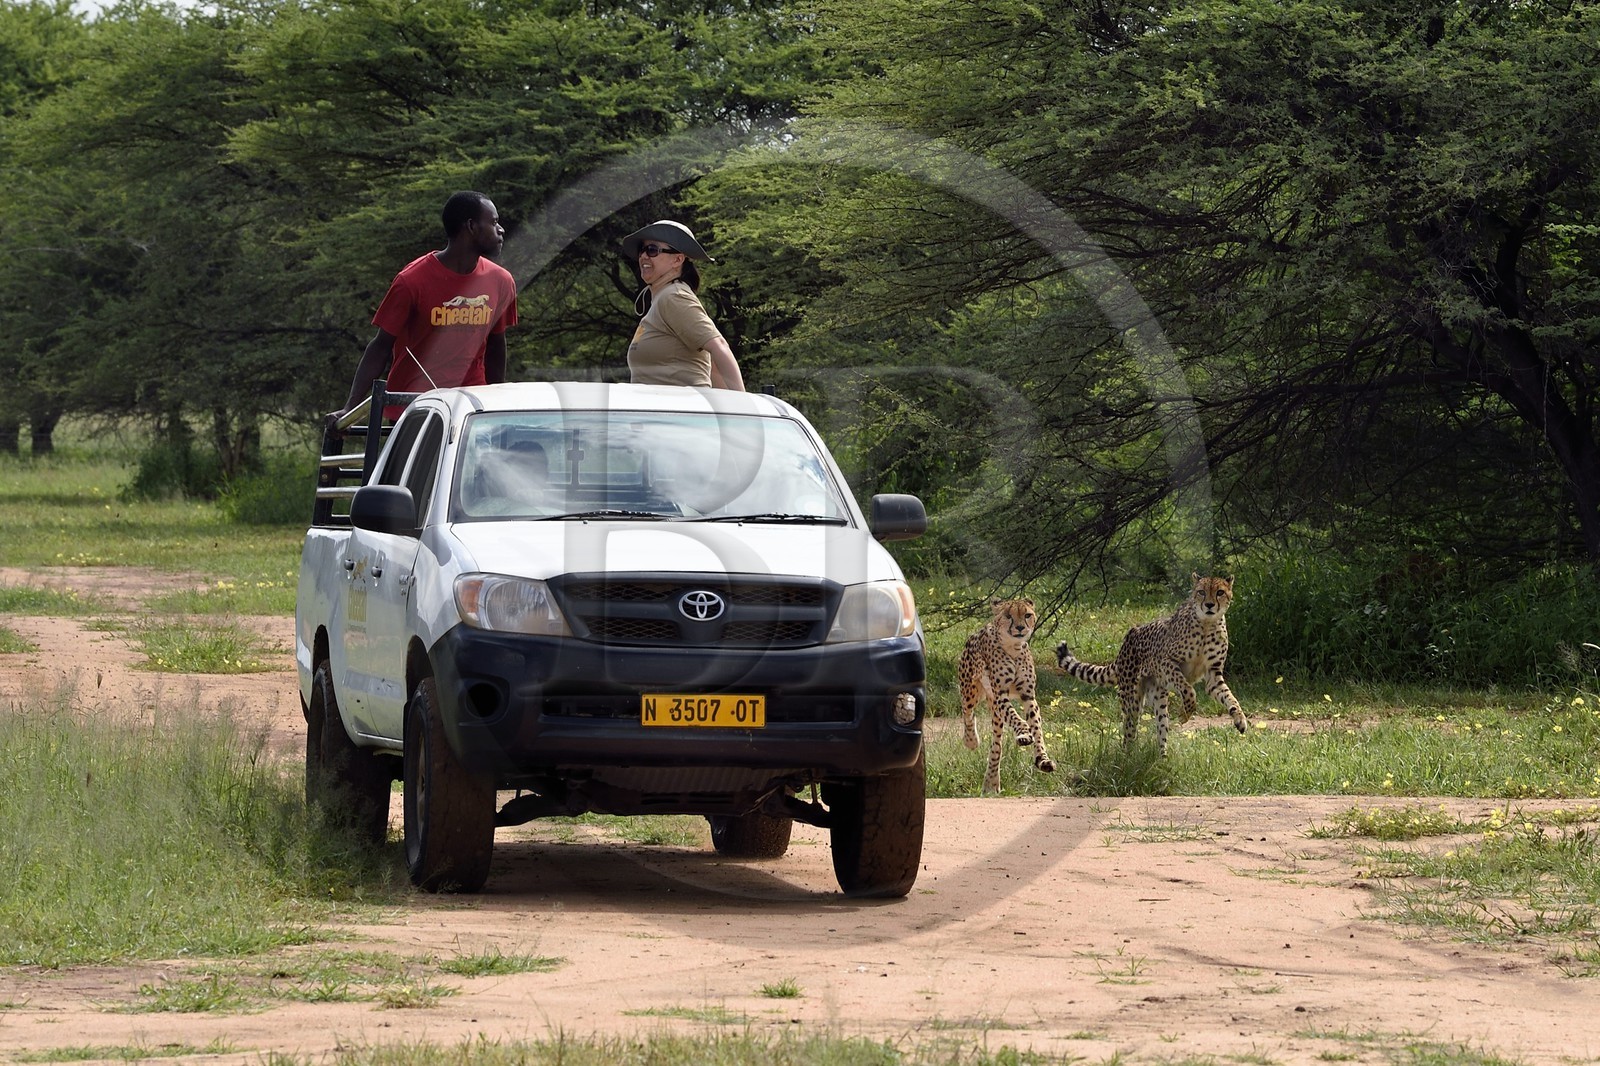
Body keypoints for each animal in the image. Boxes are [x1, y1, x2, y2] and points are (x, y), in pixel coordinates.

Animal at [958, 597, 1057, 794]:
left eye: (1027, 615)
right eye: (1008, 616)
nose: (1019, 627)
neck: (1013, 647)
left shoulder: (1028, 696)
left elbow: (1037, 728)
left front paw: (1042, 759)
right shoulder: (999, 694)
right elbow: (1016, 717)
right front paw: (1024, 733)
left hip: (995, 714)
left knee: (996, 745)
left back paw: (991, 781)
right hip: (971, 690)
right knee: (967, 712)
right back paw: (971, 741)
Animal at [1054, 573, 1248, 754]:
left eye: (1220, 592)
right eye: (1201, 592)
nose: (1209, 605)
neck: (1207, 624)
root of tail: (1128, 637)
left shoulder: (1213, 674)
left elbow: (1229, 697)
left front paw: (1240, 718)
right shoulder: (1165, 661)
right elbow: (1188, 689)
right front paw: (1186, 713)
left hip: (1158, 697)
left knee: (1161, 728)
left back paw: (1162, 760)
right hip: (1131, 698)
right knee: (1129, 730)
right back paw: (1128, 757)